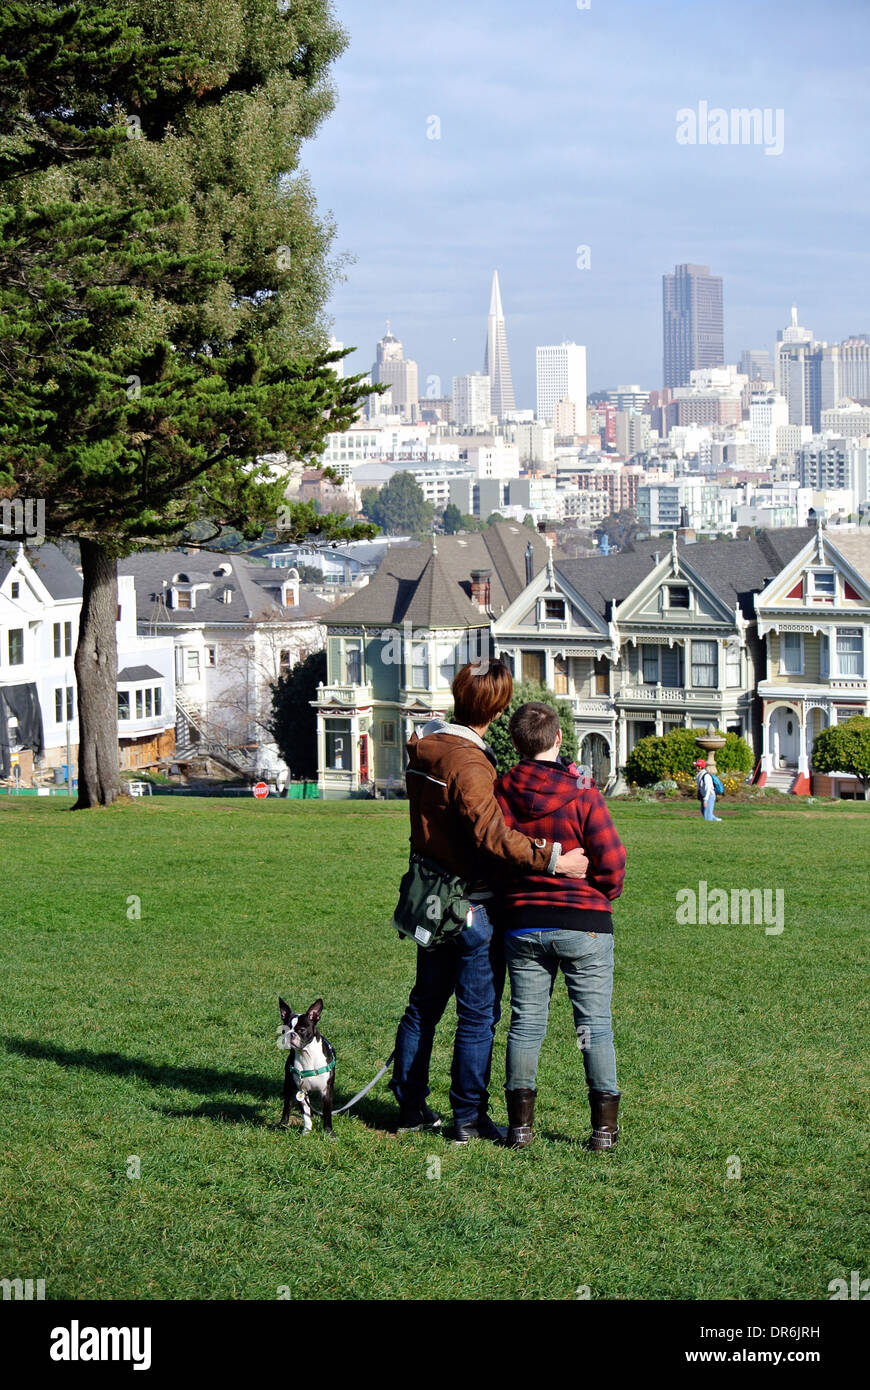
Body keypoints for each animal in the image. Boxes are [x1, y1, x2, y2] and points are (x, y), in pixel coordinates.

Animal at [277, 995, 334, 1134]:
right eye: (284, 1030)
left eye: (301, 1030)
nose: (290, 1034)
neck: (307, 1055)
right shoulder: (301, 1091)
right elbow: (305, 1114)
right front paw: (306, 1131)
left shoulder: (326, 1091)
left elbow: (327, 1113)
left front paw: (329, 1133)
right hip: (288, 1084)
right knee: (287, 1104)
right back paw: (283, 1122)